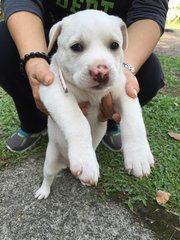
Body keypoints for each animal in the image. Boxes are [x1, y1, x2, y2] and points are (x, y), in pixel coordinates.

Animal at [35, 9, 155, 201]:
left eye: (114, 45)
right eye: (76, 47)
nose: (101, 72)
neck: (91, 93)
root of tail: (66, 163)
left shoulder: (124, 91)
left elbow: (134, 121)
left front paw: (139, 156)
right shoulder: (55, 92)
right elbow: (78, 121)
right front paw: (86, 161)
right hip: (51, 159)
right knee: (48, 176)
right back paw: (43, 191)